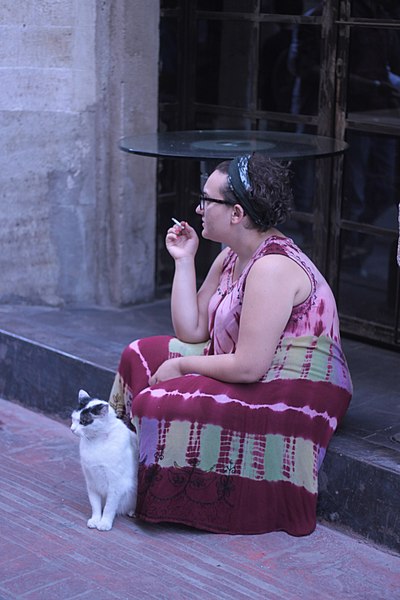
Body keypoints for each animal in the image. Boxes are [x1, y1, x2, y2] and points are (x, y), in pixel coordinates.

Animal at [71, 392, 139, 532]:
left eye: (83, 422)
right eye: (73, 419)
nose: (72, 429)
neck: (95, 442)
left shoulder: (115, 485)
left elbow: (109, 508)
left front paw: (104, 523)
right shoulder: (92, 483)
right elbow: (95, 505)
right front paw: (95, 520)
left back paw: (132, 512)